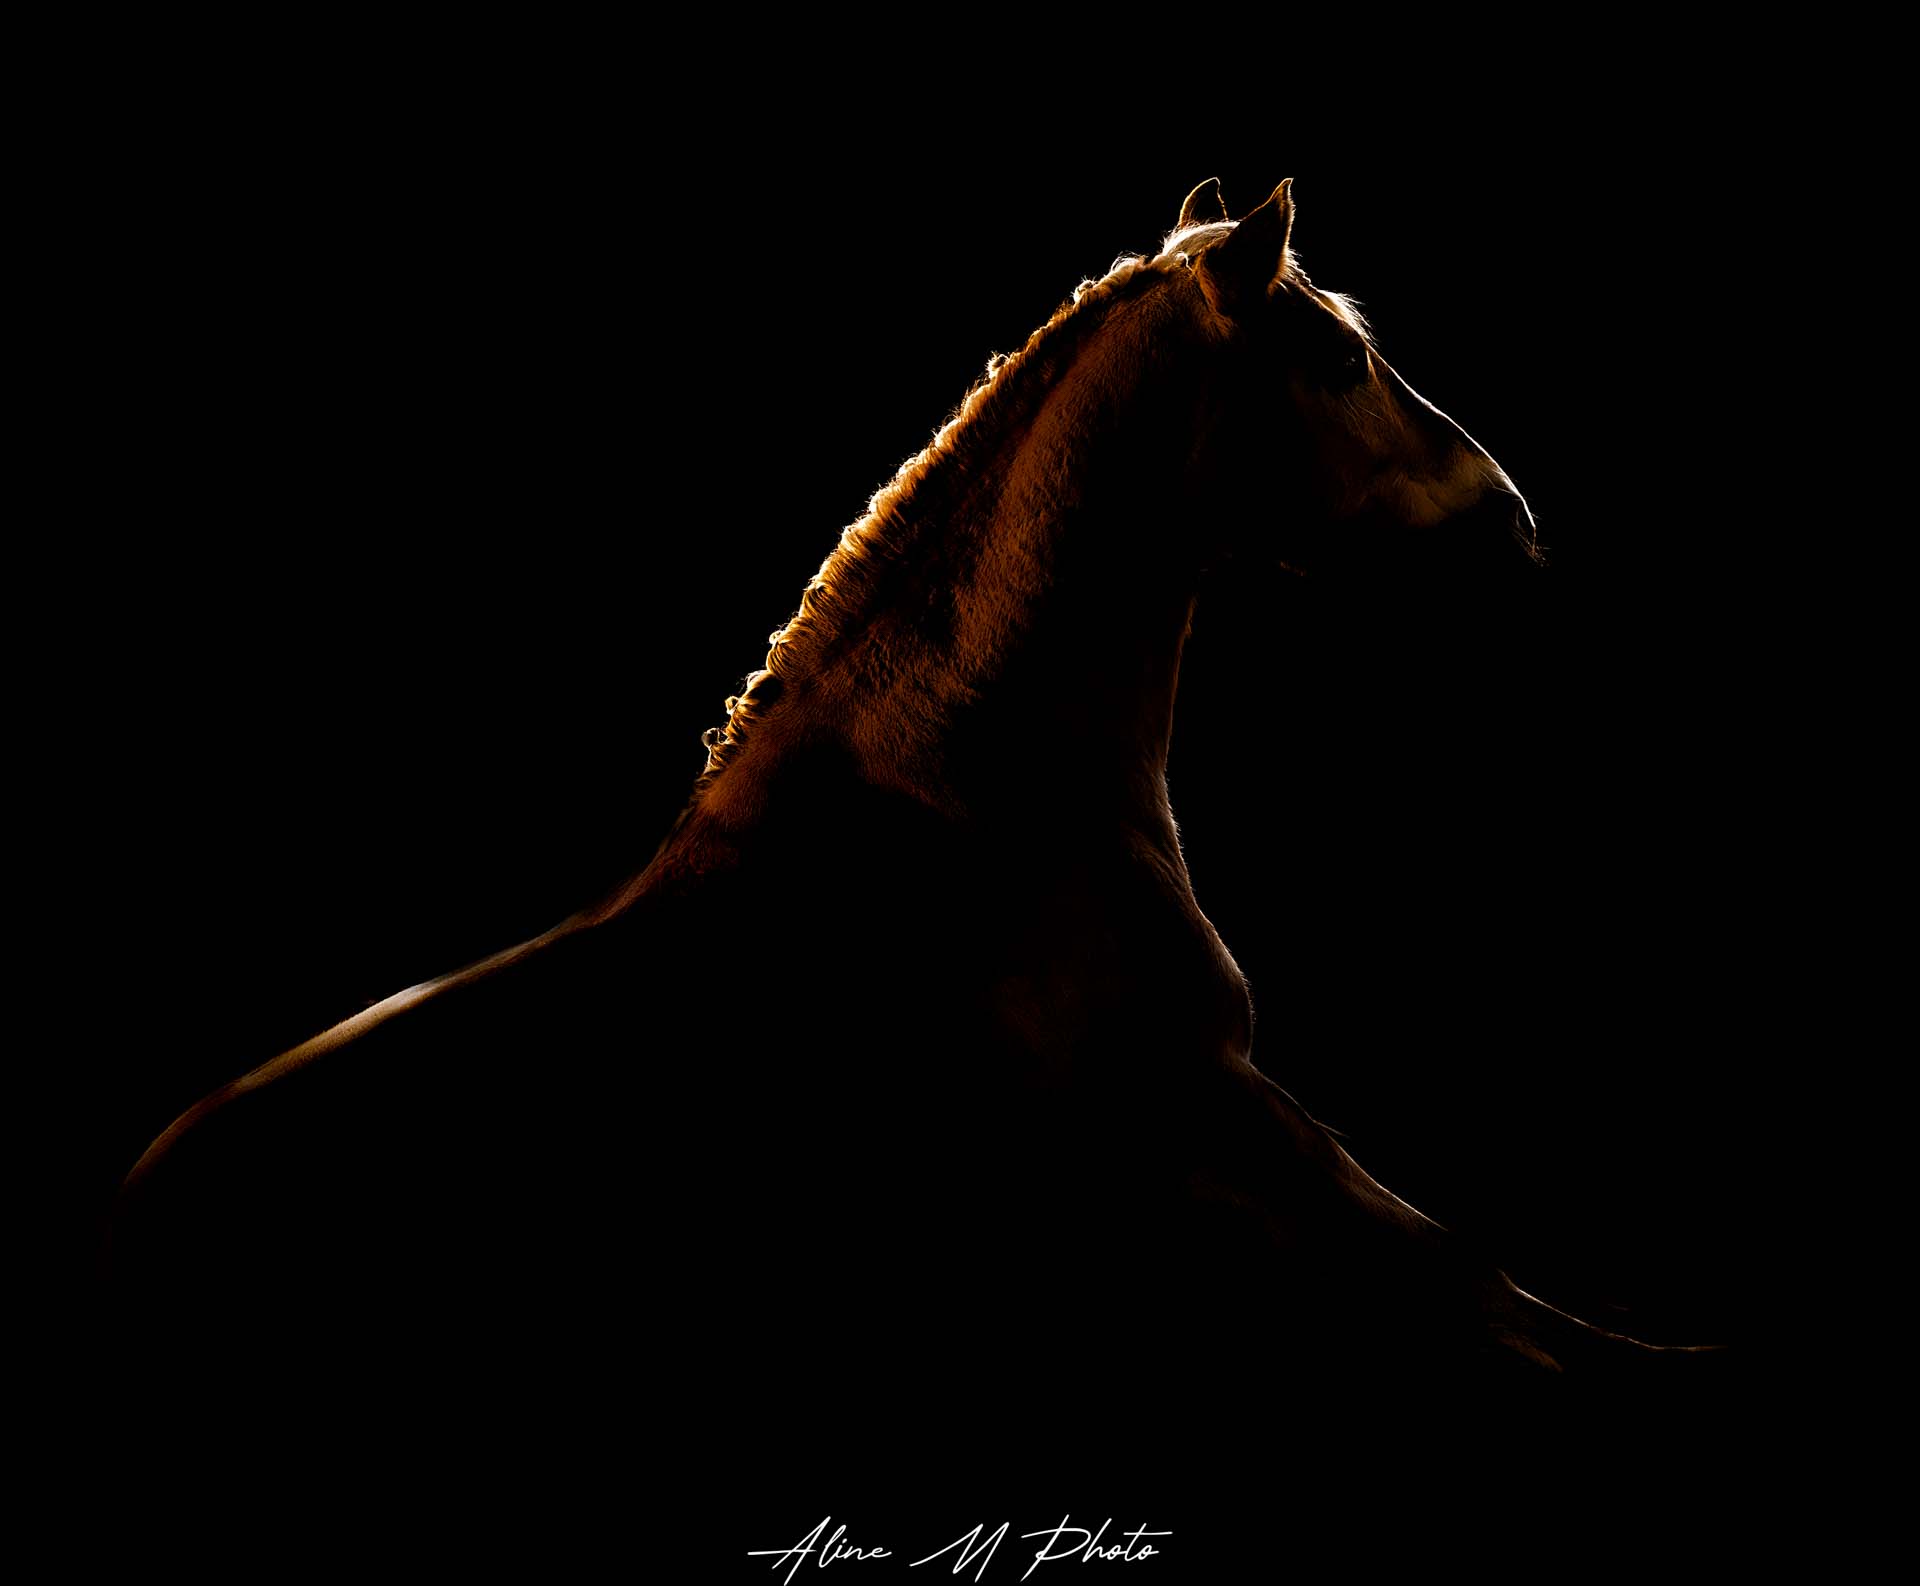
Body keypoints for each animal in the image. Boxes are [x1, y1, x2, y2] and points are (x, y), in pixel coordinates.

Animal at [109, 177, 1690, 1487]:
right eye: (1346, 360)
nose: (1515, 516)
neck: (975, 793)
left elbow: (1494, 1294)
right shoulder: (1203, 1118)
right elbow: (1481, 1294)